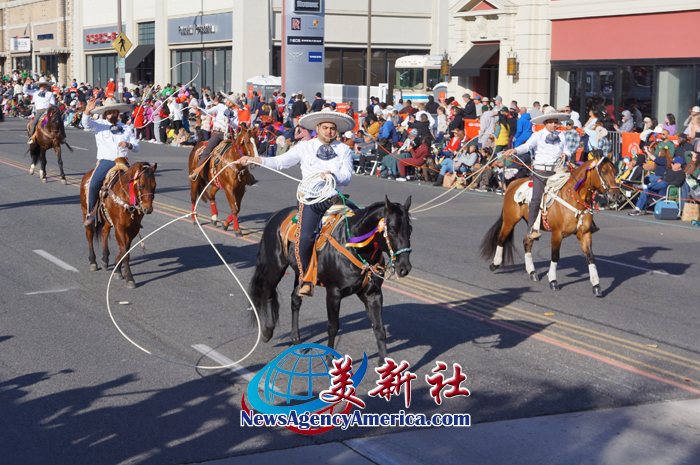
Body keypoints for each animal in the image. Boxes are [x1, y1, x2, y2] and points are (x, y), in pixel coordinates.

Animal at [248, 196, 413, 363]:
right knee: (268, 292)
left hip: (300, 275)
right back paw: (267, 332)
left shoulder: (373, 294)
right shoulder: (333, 293)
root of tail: (275, 215)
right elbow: (333, 326)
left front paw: (384, 362)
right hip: (276, 267)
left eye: (410, 230)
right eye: (391, 231)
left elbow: (379, 329)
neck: (353, 246)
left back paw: (296, 340)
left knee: (295, 300)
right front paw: (329, 358)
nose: (404, 268)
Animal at [480, 153, 623, 296]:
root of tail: (513, 183)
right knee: (501, 238)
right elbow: (555, 255)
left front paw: (596, 285)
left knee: (527, 242)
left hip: (532, 226)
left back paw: (532, 272)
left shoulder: (585, 233)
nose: (616, 195)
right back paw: (495, 263)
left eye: (615, 172)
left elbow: (590, 257)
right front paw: (553, 281)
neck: (573, 198)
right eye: (604, 172)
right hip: (510, 220)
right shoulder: (557, 233)